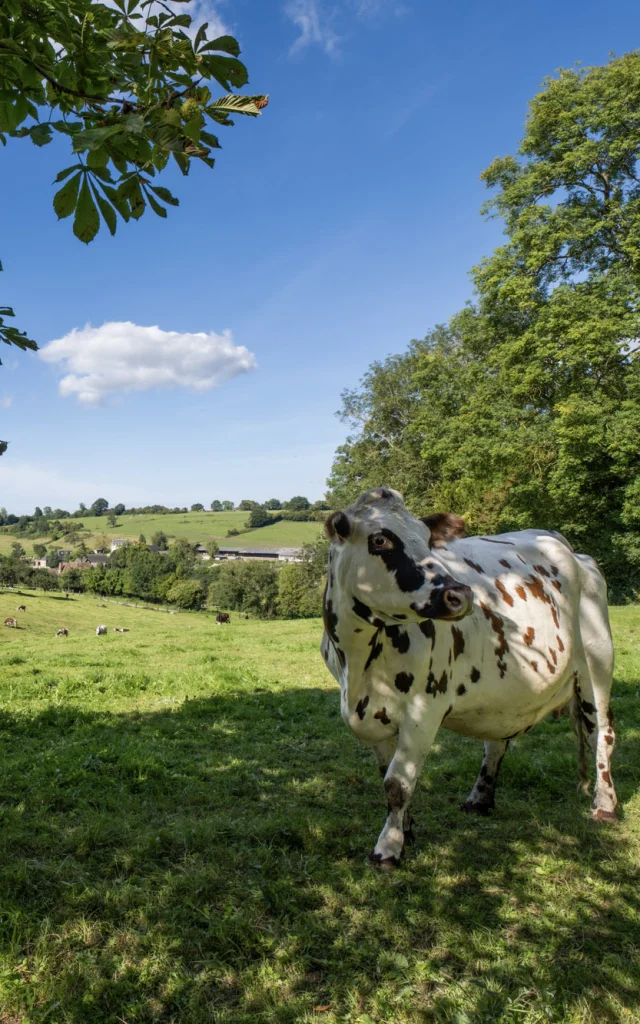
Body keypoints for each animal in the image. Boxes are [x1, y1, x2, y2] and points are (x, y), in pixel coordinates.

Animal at [321, 489, 618, 872]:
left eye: (427, 538)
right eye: (380, 539)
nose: (460, 594)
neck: (358, 665)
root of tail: (571, 550)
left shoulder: (424, 709)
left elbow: (398, 784)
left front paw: (387, 849)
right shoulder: (372, 714)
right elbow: (387, 776)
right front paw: (406, 832)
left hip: (597, 660)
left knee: (602, 734)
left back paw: (605, 805)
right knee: (497, 742)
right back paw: (479, 799)